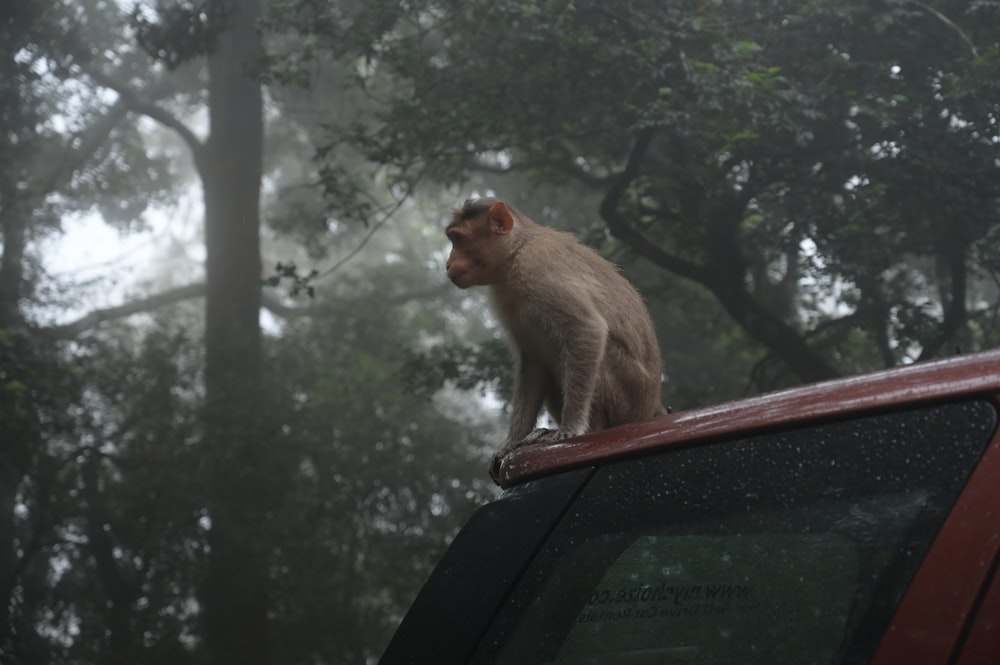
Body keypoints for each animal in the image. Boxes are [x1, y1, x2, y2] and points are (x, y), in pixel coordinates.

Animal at [444, 195, 664, 480]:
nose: (447, 263)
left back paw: (594, 430)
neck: (516, 252)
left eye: (458, 239)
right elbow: (532, 362)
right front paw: (510, 443)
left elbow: (587, 329)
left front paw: (571, 429)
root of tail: (651, 406)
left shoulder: (539, 268)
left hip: (630, 395)